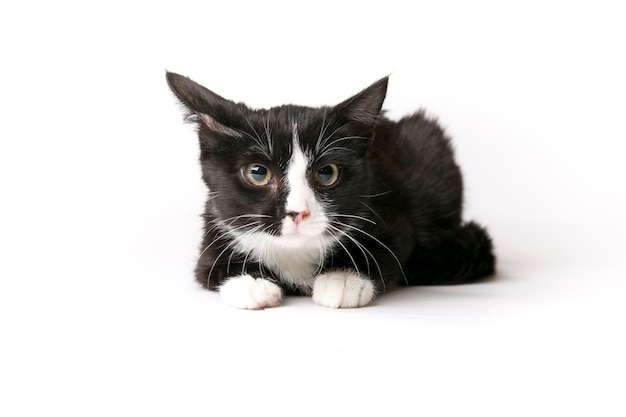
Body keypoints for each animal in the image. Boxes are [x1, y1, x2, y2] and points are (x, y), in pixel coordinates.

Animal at [165, 70, 492, 308]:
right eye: (258, 173)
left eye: (326, 173)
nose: (298, 212)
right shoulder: (215, 218)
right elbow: (207, 265)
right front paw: (250, 283)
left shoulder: (391, 216)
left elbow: (391, 251)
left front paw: (343, 279)